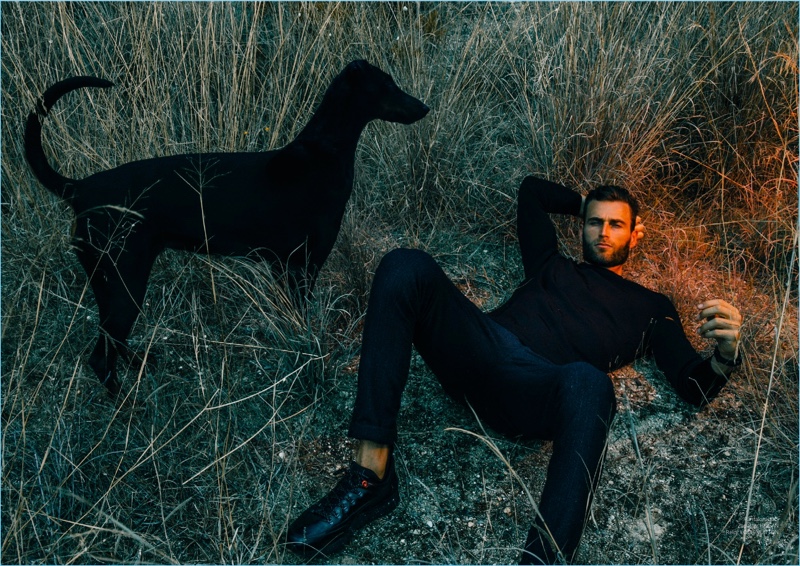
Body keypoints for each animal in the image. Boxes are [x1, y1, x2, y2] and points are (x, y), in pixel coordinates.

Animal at [25, 59, 429, 397]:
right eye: (387, 85)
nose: (425, 107)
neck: (324, 153)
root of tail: (80, 189)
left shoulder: (283, 269)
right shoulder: (301, 267)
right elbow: (303, 325)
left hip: (111, 284)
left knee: (115, 343)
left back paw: (145, 368)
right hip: (125, 283)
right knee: (101, 357)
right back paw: (128, 406)